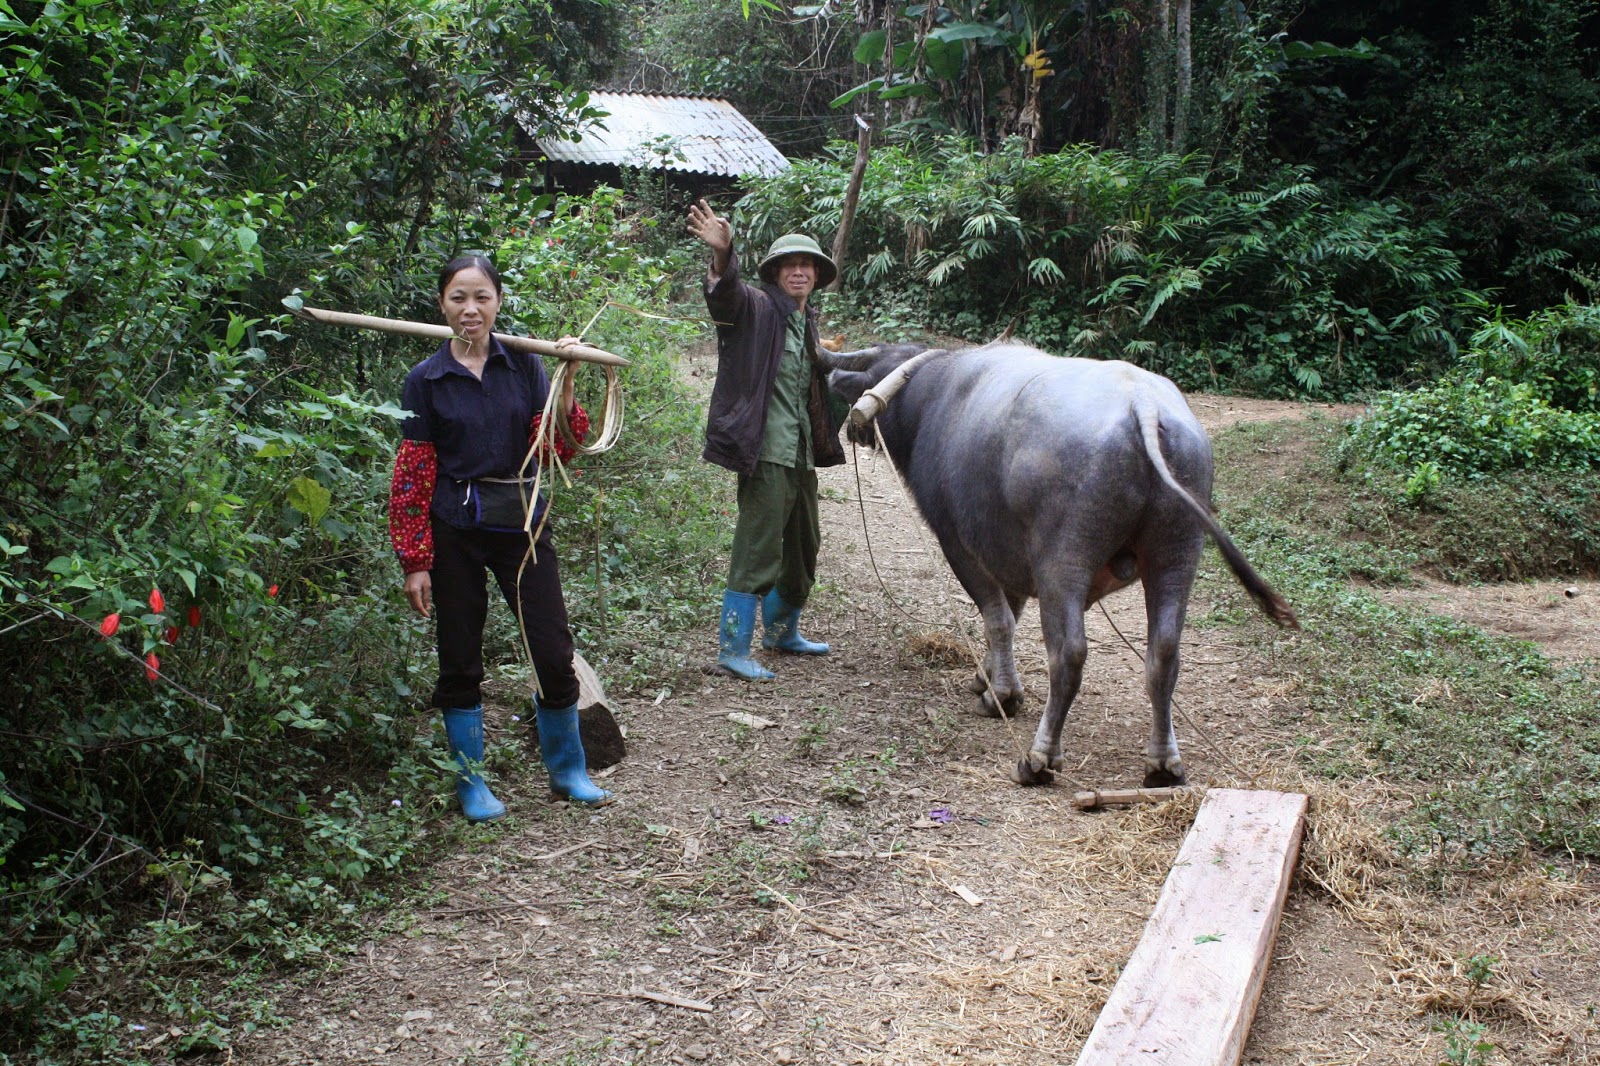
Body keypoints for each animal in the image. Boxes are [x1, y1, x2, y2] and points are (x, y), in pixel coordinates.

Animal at [819, 344, 1292, 784]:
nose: (852, 429)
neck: (932, 395)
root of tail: (1142, 404)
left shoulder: (959, 543)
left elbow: (997, 619)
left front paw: (1002, 695)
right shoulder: (1005, 553)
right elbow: (1008, 614)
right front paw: (987, 677)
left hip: (1064, 562)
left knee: (1068, 654)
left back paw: (1039, 758)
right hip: (1177, 554)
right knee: (1164, 652)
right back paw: (1163, 764)